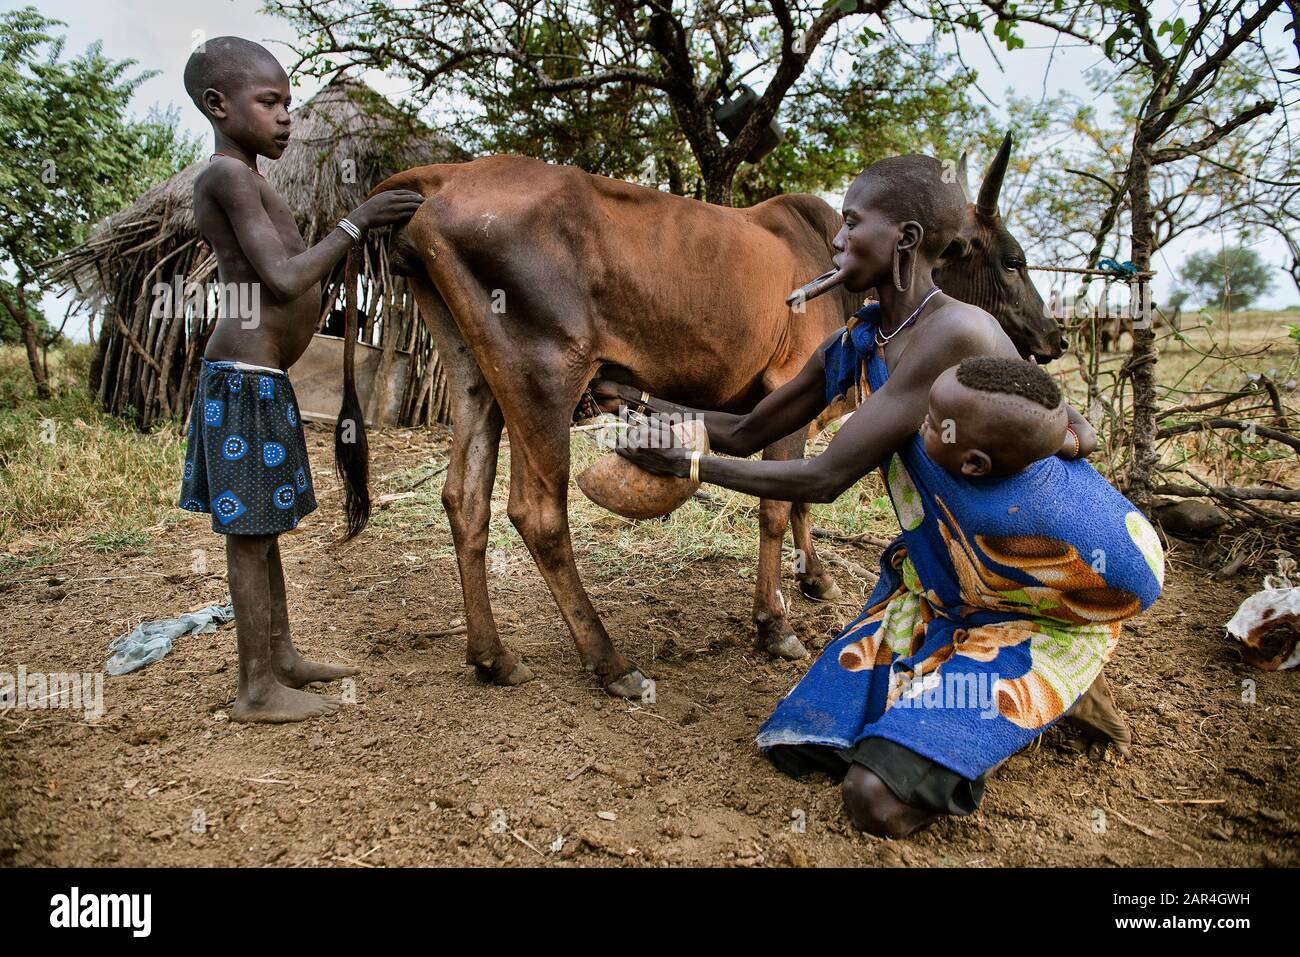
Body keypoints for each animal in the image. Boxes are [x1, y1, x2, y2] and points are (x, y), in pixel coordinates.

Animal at [343, 143, 1055, 696]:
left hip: (475, 377)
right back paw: (610, 662)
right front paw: (774, 625)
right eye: (1012, 260)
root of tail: (447, 176)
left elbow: (802, 500)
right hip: (542, 376)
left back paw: (493, 657)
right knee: (537, 512)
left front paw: (816, 578)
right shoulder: (786, 384)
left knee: (464, 499)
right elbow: (777, 508)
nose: (1051, 338)